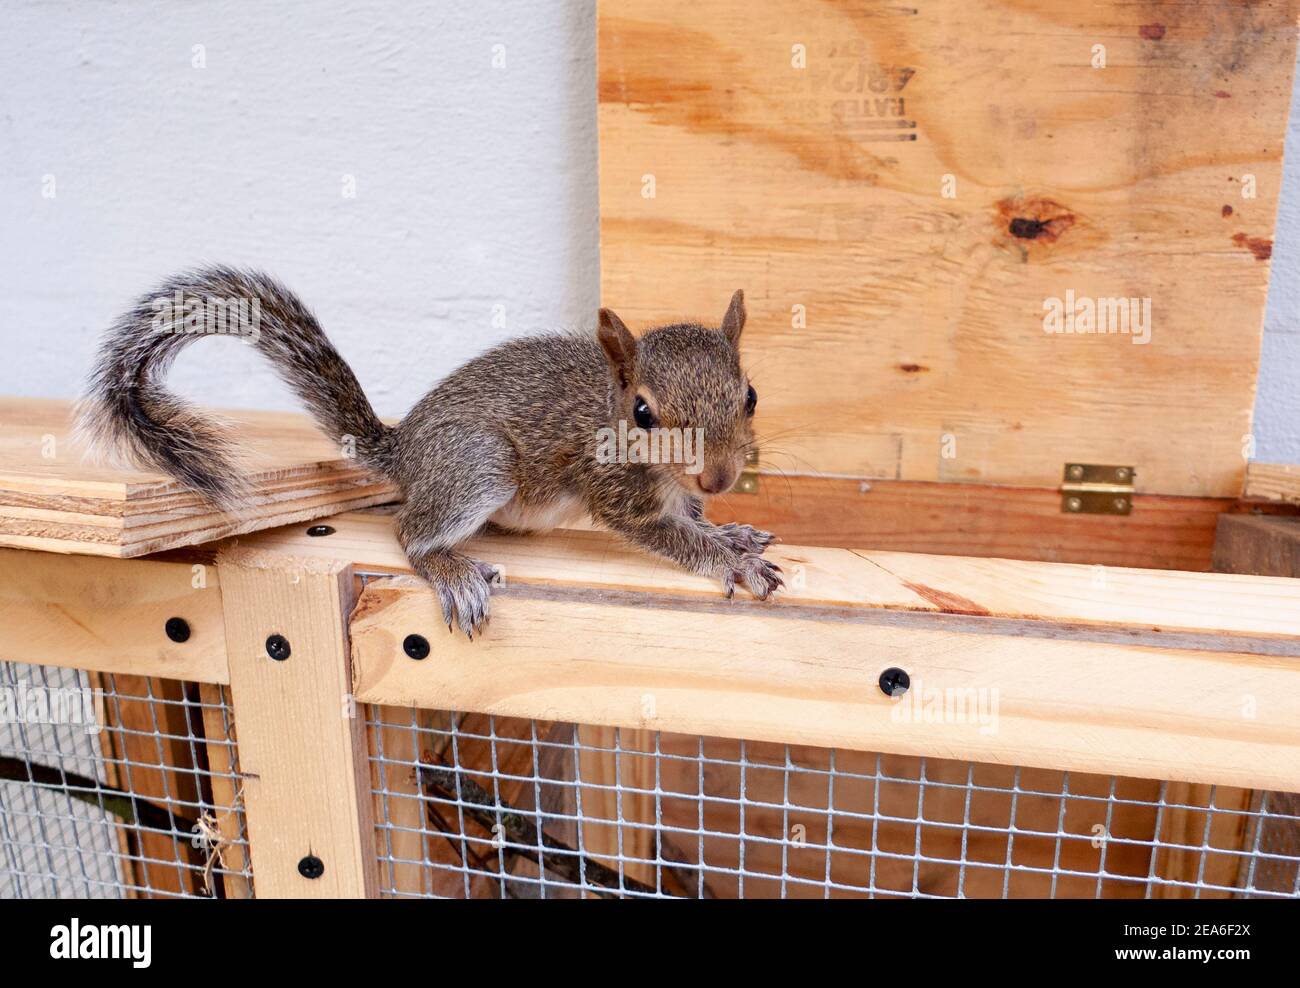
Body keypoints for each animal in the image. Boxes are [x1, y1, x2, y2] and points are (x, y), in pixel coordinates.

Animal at [78, 266, 780, 637]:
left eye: (750, 395)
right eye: (643, 413)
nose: (720, 477)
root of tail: (405, 451)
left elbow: (690, 519)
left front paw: (732, 533)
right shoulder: (617, 491)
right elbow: (667, 534)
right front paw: (731, 560)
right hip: (478, 464)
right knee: (410, 531)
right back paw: (450, 569)